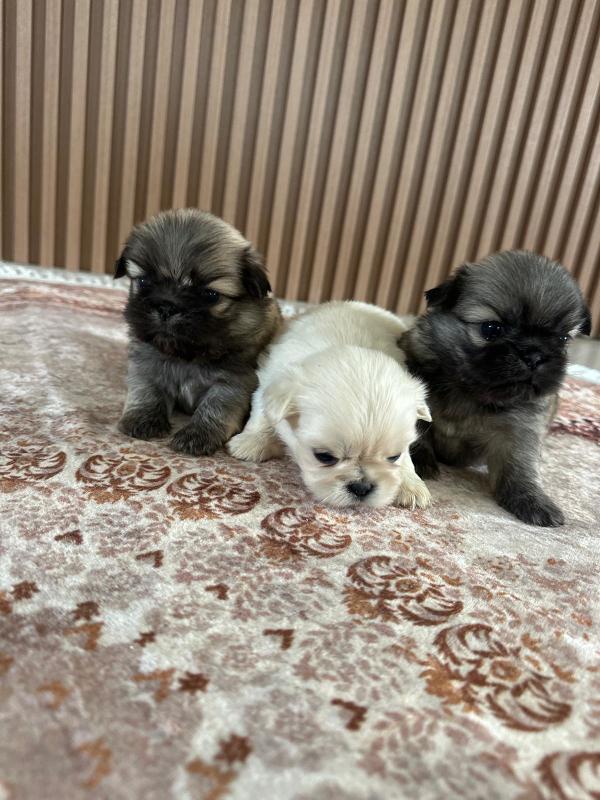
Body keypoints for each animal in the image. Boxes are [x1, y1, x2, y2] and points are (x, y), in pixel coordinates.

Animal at [115, 208, 281, 455]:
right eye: (144, 281)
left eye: (210, 295)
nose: (166, 306)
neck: (187, 356)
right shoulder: (145, 366)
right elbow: (145, 390)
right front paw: (142, 418)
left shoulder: (232, 384)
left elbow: (215, 408)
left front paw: (197, 434)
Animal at [228, 301, 432, 509]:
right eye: (324, 457)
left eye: (393, 457)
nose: (361, 487)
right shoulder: (270, 379)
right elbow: (262, 413)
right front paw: (252, 442)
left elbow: (406, 460)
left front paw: (410, 484)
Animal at [399, 250, 591, 526]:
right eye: (491, 328)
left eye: (562, 339)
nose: (534, 355)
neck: (470, 391)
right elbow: (419, 434)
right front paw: (422, 462)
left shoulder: (520, 430)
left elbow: (520, 466)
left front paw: (531, 499)